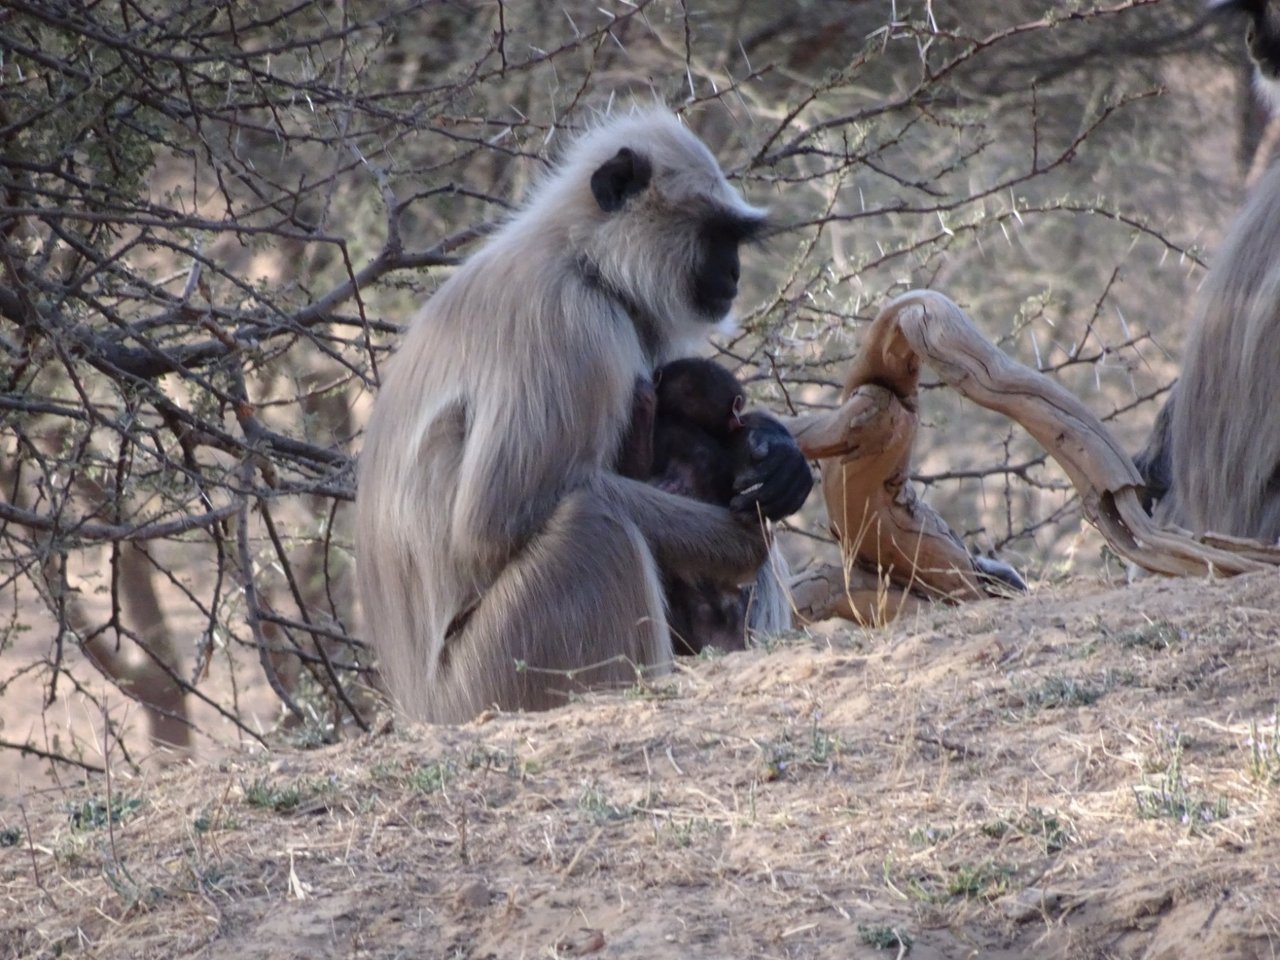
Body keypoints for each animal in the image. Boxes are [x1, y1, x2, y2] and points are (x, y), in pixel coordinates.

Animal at [353, 108, 808, 721]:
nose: (734, 274)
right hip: (496, 673)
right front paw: (747, 540)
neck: (581, 257)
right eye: (716, 236)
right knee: (593, 524)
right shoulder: (570, 321)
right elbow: (496, 518)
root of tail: (419, 709)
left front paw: (779, 454)